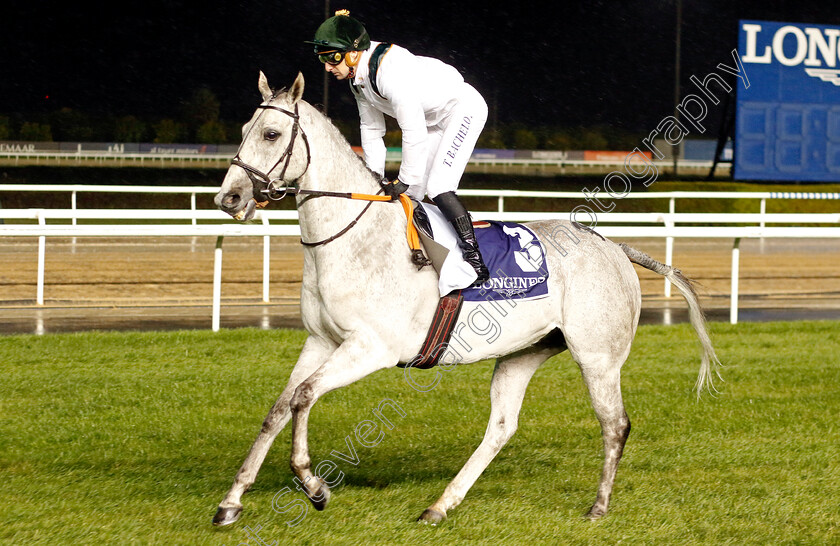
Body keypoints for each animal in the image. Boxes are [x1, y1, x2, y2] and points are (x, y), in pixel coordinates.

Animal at [212, 71, 720, 524]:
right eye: (244, 130)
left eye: (272, 133)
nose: (229, 198)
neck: (354, 238)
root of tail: (614, 246)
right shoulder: (320, 341)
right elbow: (278, 409)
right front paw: (232, 501)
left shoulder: (371, 347)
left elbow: (302, 398)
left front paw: (314, 486)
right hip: (523, 353)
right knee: (502, 427)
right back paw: (441, 505)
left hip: (598, 356)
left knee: (615, 424)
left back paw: (598, 506)